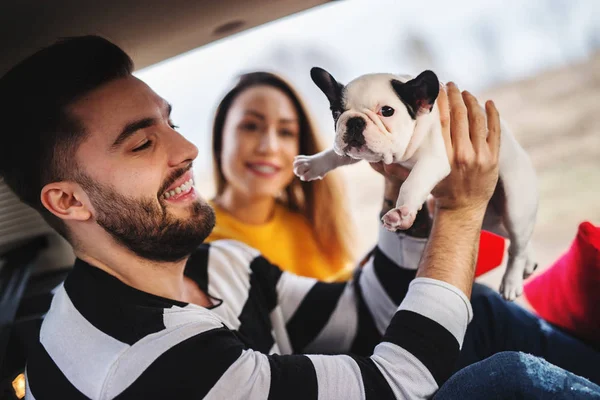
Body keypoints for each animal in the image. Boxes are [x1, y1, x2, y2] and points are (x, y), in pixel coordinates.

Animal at [296, 68, 540, 300]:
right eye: (336, 113)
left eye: (387, 111)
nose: (355, 121)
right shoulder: (355, 151)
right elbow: (336, 155)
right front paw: (312, 164)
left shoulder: (433, 160)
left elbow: (412, 183)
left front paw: (401, 212)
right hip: (491, 219)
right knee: (517, 239)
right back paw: (528, 261)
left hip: (516, 206)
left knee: (517, 246)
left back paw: (511, 282)